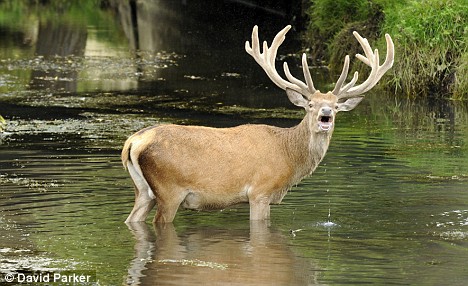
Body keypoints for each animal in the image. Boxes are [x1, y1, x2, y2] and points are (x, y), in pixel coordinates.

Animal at [122, 24, 394, 225]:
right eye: (310, 104)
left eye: (336, 106)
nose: (325, 113)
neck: (289, 156)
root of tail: (133, 142)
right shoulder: (260, 191)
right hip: (169, 190)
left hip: (143, 190)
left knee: (132, 219)